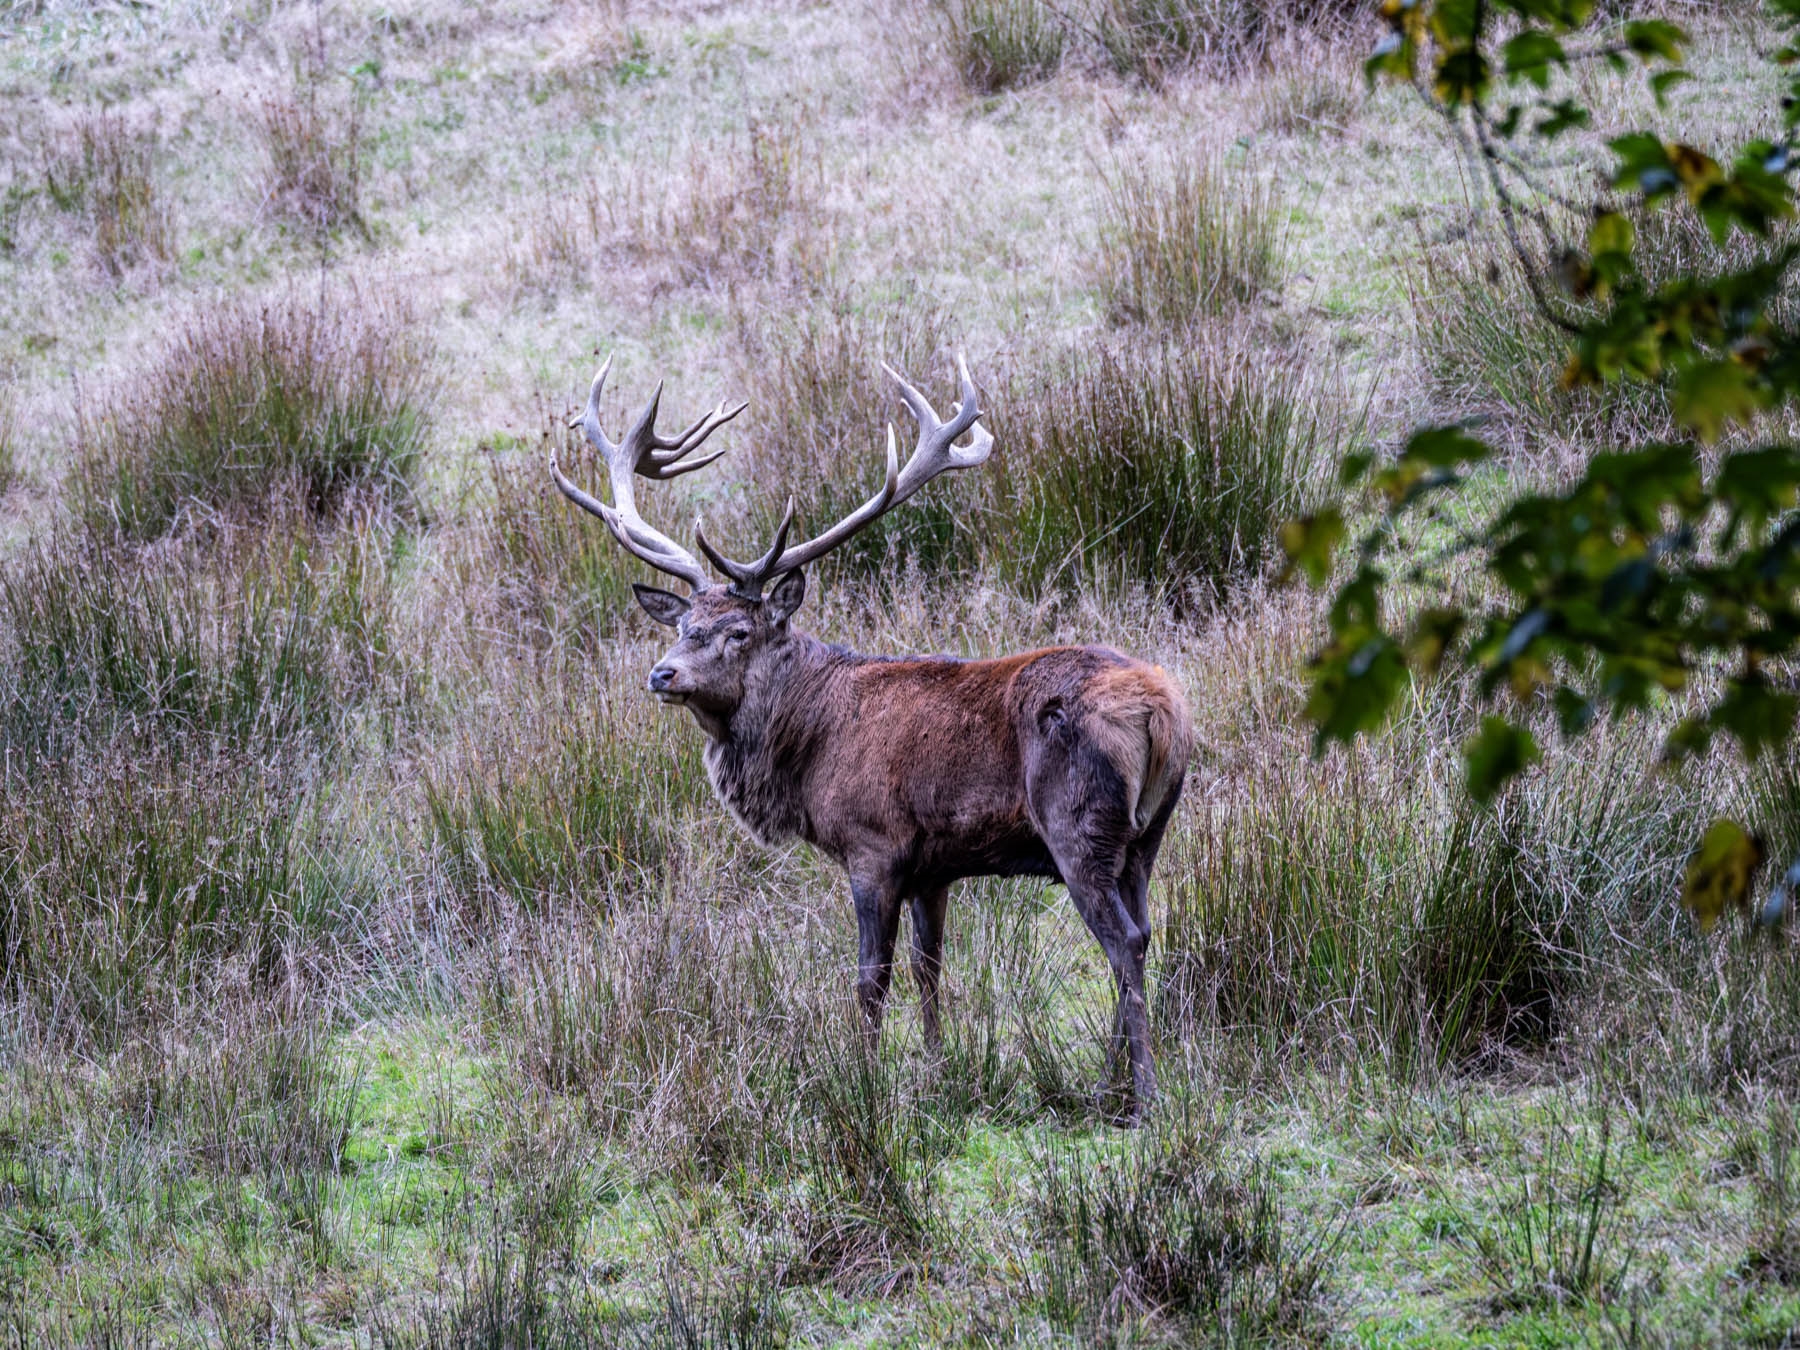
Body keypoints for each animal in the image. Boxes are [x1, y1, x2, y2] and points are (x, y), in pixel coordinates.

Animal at [548, 352, 1193, 1118]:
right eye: (682, 625)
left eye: (739, 632)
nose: (662, 673)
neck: (809, 747)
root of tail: (1162, 711)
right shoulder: (935, 866)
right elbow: (928, 967)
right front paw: (940, 1072)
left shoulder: (872, 845)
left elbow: (869, 977)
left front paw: (864, 1078)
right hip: (1145, 836)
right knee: (1144, 931)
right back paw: (1104, 1084)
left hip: (1077, 824)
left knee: (1123, 942)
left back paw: (1143, 1096)